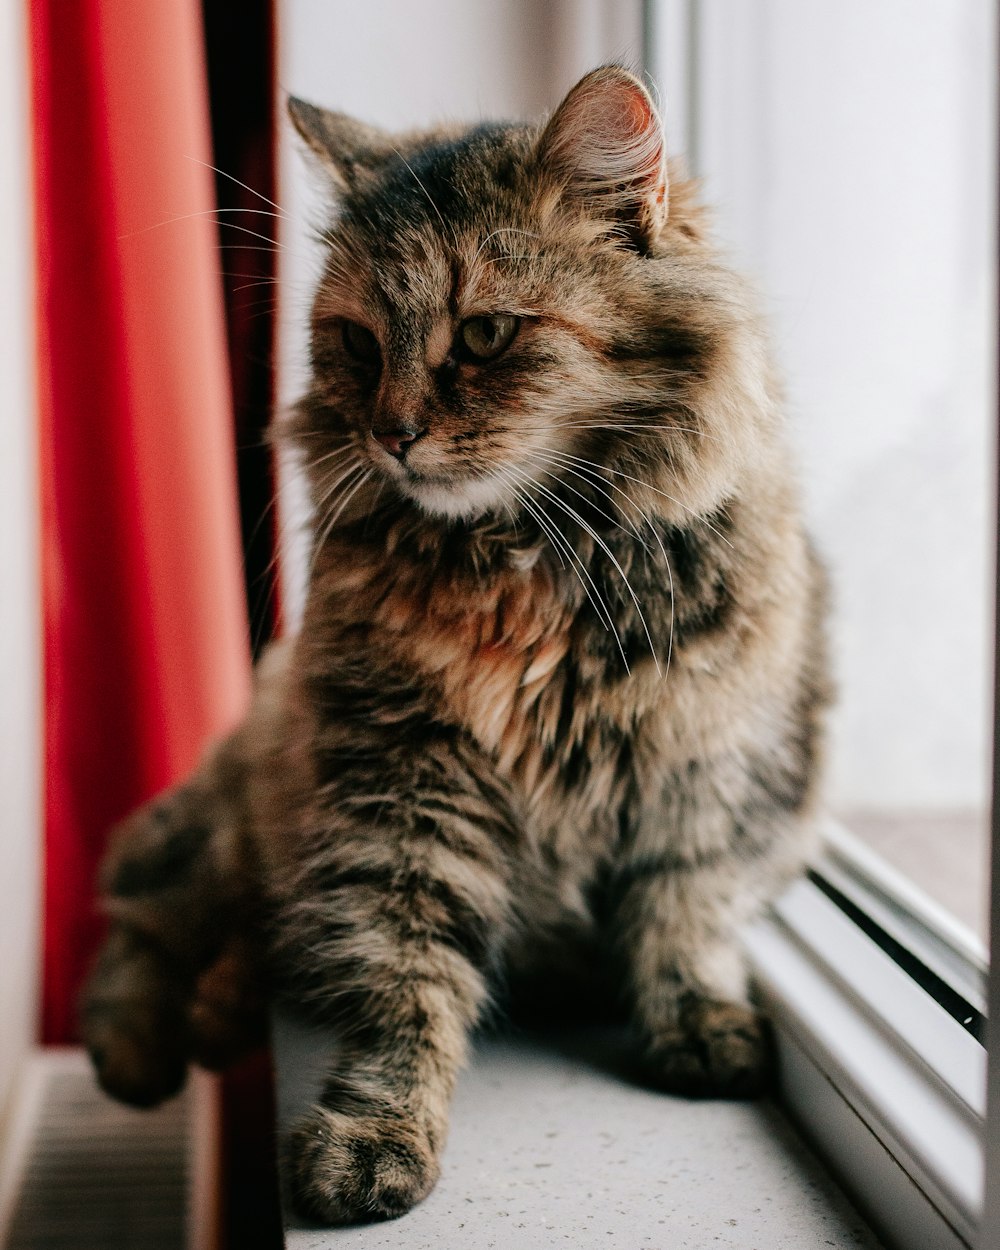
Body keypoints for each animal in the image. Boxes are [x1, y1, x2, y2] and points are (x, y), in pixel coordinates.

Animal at [80, 65, 830, 1220]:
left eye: (482, 337)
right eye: (357, 344)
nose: (391, 434)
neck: (524, 563)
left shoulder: (715, 772)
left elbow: (684, 915)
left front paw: (696, 1025)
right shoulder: (403, 792)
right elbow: (400, 990)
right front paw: (371, 1139)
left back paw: (224, 1006)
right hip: (225, 825)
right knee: (138, 922)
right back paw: (138, 1052)